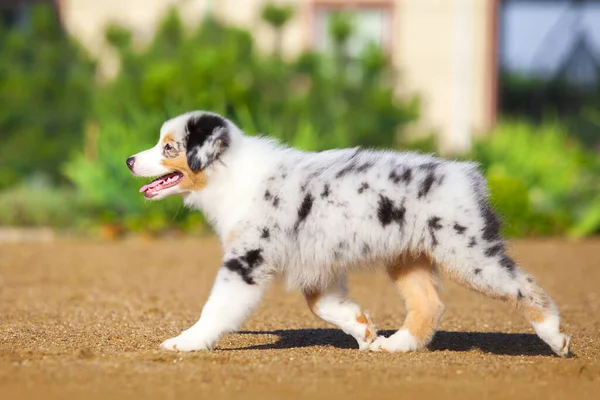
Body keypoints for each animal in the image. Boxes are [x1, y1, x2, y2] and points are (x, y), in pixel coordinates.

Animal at [124, 110, 568, 356]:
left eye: (168, 147)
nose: (129, 160)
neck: (230, 173)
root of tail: (468, 174)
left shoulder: (247, 261)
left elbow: (216, 308)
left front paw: (186, 342)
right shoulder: (317, 264)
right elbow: (323, 305)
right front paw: (364, 330)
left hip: (468, 255)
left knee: (525, 285)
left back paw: (557, 338)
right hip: (407, 258)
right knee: (429, 304)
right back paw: (395, 345)